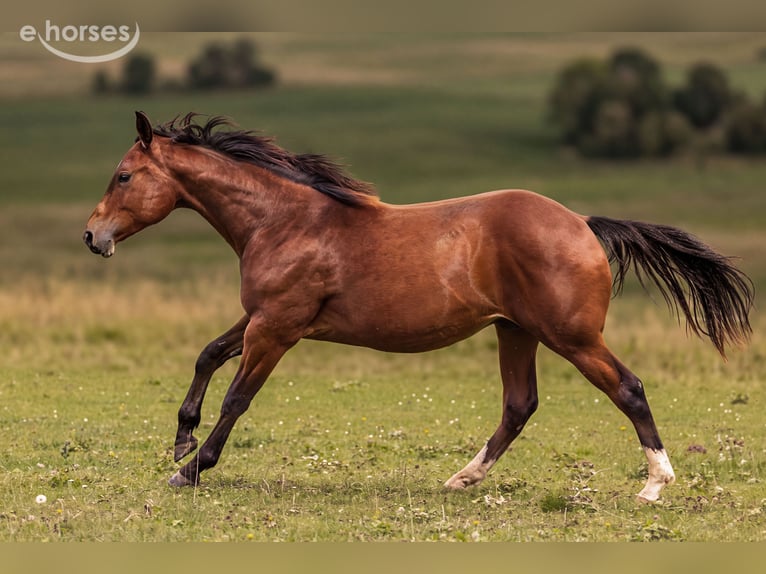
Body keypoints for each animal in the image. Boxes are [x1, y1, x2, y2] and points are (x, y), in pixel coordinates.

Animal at [83, 111, 753, 502]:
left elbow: (237, 397)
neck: (283, 221)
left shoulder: (277, 328)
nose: (92, 237)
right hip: (515, 331)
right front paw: (181, 440)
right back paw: (462, 478)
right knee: (520, 405)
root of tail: (584, 225)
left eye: (123, 176)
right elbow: (207, 355)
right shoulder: (263, 317)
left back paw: (656, 484)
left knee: (628, 388)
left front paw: (191, 467)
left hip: (572, 336)